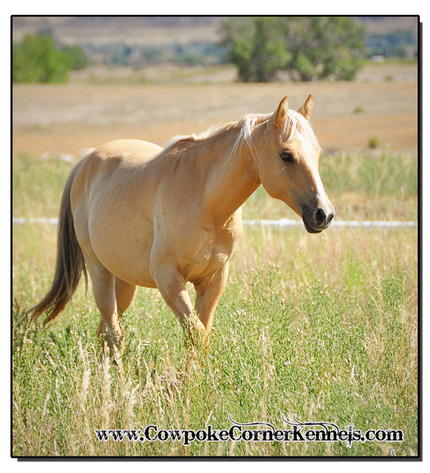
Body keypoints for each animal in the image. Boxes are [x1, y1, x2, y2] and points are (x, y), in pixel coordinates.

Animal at [27, 93, 336, 358]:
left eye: (318, 154)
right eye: (286, 155)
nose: (324, 214)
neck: (205, 202)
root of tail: (86, 160)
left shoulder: (213, 281)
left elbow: (201, 336)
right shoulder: (168, 279)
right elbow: (196, 334)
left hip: (124, 281)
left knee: (106, 329)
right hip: (99, 269)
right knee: (113, 330)